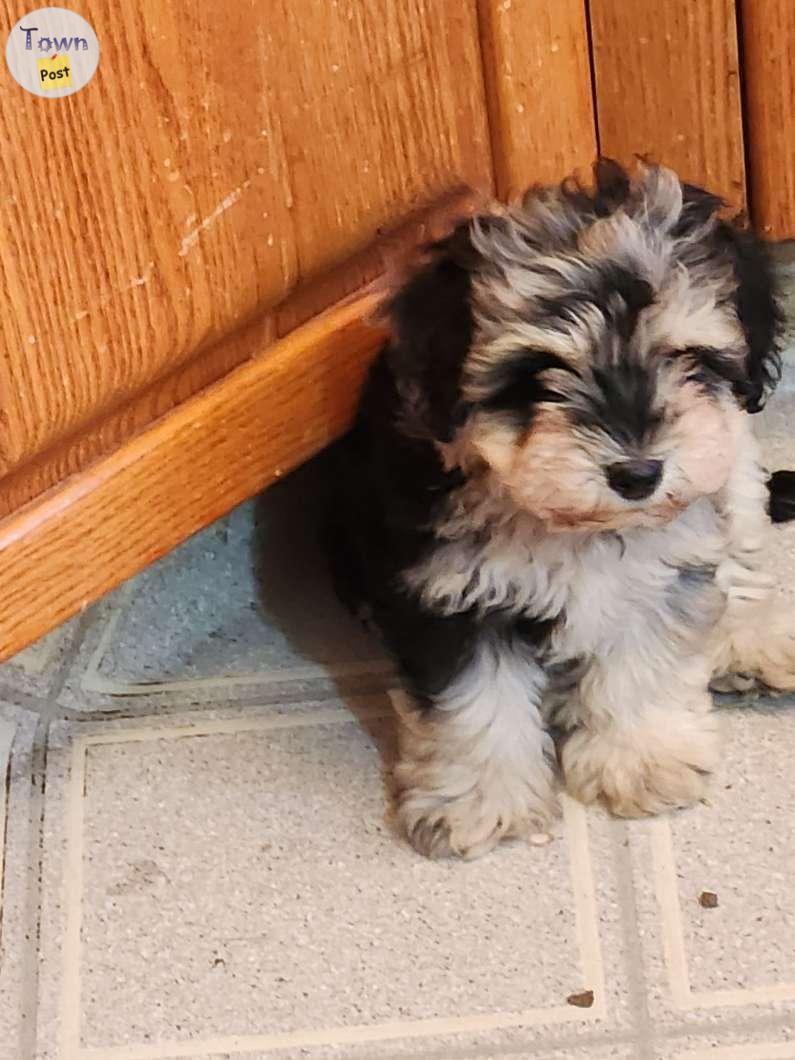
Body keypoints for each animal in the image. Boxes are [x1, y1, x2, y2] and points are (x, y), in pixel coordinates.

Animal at [326, 158, 792, 860]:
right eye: (538, 371)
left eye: (686, 357)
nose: (638, 474)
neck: (567, 523)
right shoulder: (449, 594)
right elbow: (475, 701)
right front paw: (481, 799)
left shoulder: (658, 566)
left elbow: (644, 659)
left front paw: (642, 757)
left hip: (728, 456)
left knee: (742, 536)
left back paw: (752, 643)